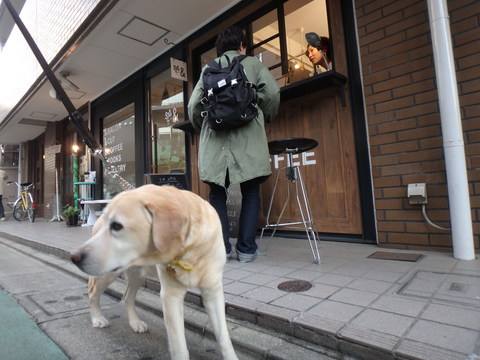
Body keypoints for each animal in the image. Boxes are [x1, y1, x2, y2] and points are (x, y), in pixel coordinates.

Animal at [70, 186, 238, 360]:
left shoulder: (213, 291)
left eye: (116, 226)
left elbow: (224, 339)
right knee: (92, 293)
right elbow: (179, 346)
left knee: (127, 297)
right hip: (106, 275)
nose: (74, 257)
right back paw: (97, 318)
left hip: (136, 276)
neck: (188, 250)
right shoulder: (171, 296)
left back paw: (135, 323)